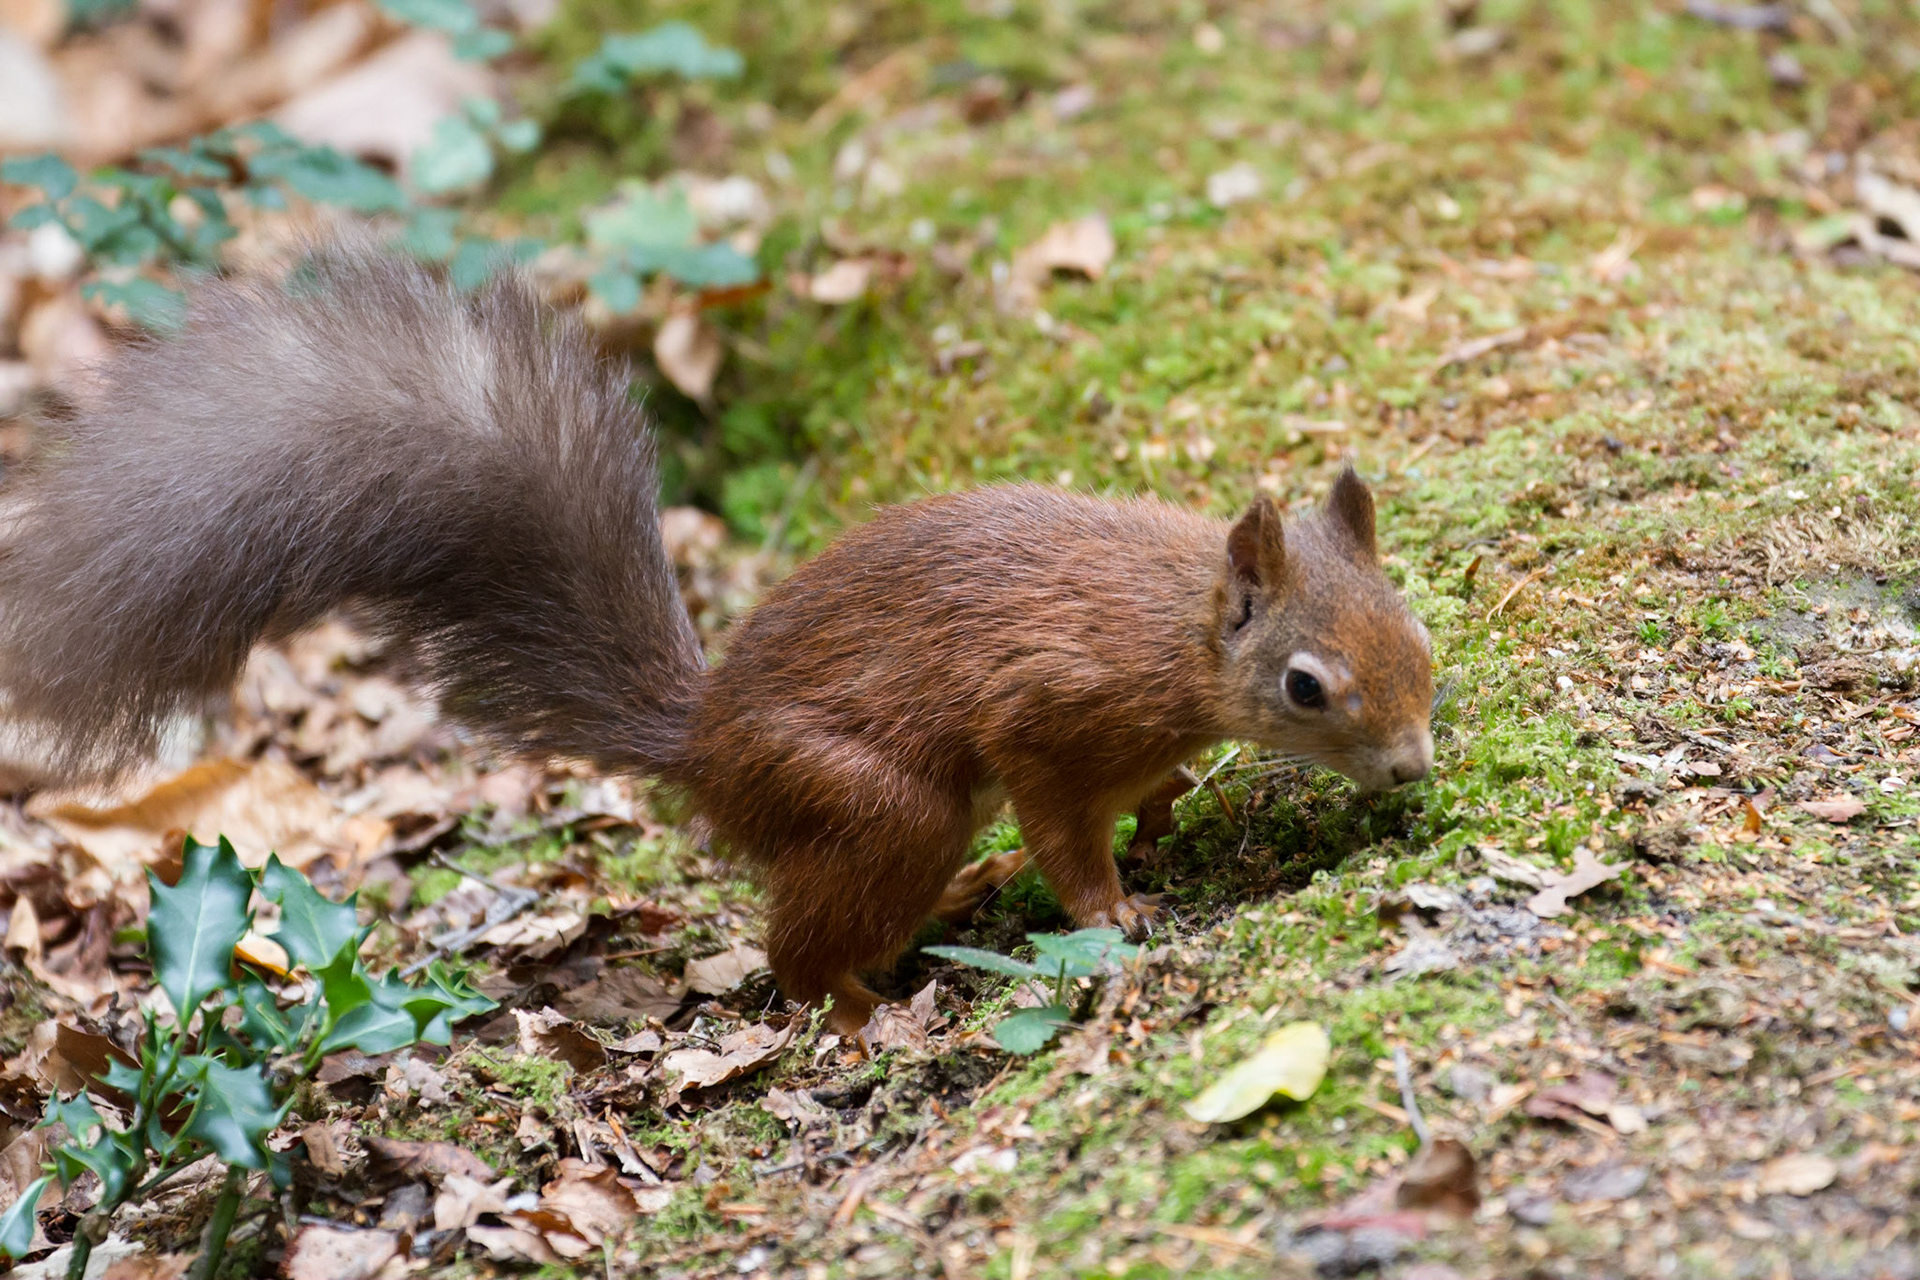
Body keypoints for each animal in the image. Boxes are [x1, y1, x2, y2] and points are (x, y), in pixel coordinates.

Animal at [0, 249, 1434, 1033]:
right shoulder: (1045, 711)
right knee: (795, 956)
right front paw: (1119, 907)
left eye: (1421, 639)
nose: (1416, 768)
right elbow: (1065, 835)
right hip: (878, 801)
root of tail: (705, 745)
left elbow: (1156, 788)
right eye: (1308, 685)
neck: (1178, 635)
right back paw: (864, 1014)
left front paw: (1172, 809)